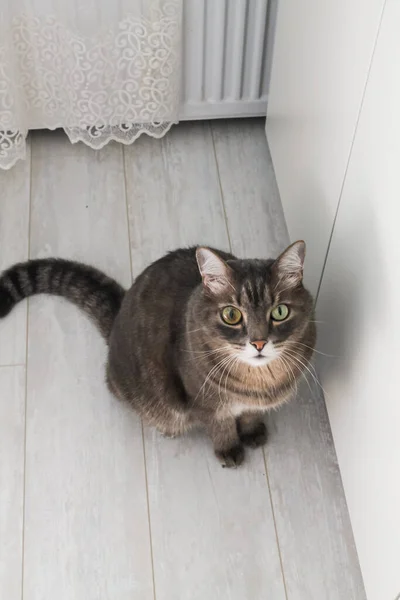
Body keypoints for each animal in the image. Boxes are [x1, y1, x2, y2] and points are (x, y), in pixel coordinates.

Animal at [0, 241, 316, 466]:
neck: (258, 381)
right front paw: (228, 448)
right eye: (231, 315)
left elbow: (249, 414)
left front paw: (251, 430)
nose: (259, 342)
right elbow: (220, 424)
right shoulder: (202, 399)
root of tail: (118, 317)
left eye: (280, 311)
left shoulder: (252, 402)